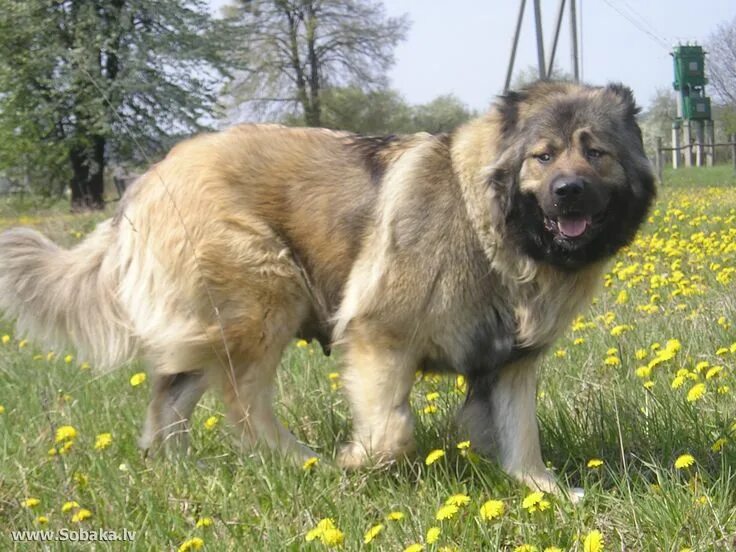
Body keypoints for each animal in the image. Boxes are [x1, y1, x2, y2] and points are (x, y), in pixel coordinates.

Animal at [0, 81, 656, 496]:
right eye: (542, 157)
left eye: (595, 151)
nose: (568, 191)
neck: (488, 224)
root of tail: (144, 181)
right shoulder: (379, 336)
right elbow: (392, 430)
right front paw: (356, 462)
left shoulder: (513, 361)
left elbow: (521, 434)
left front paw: (545, 491)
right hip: (268, 292)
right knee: (243, 403)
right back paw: (300, 461)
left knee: (171, 396)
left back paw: (175, 469)